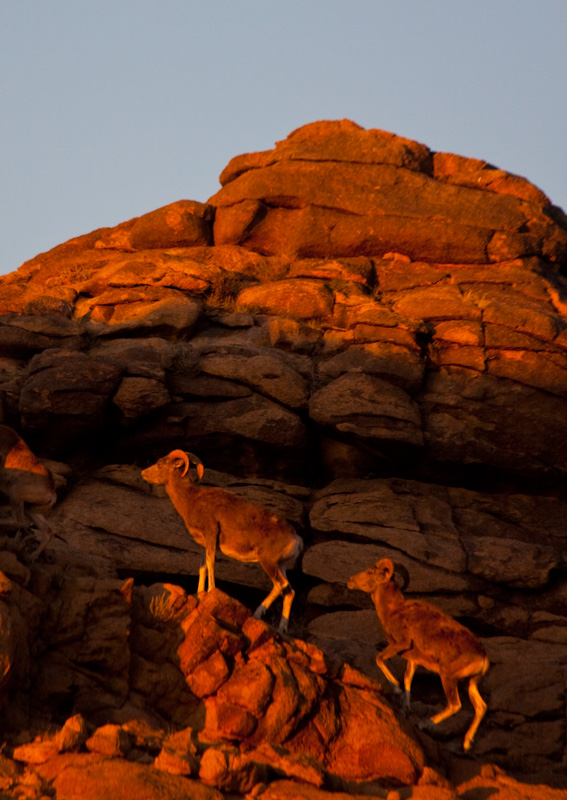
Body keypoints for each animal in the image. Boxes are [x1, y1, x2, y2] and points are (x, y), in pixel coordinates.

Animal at [141, 450, 302, 632]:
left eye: (160, 464)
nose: (143, 473)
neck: (191, 499)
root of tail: (296, 539)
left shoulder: (211, 534)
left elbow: (210, 563)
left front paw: (211, 590)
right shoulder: (204, 544)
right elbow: (202, 567)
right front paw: (200, 593)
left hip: (268, 562)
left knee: (280, 586)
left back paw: (257, 614)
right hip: (280, 565)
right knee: (289, 591)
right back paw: (281, 628)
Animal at [348, 556, 490, 752]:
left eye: (370, 572)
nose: (350, 580)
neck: (393, 610)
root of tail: (482, 658)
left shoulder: (400, 644)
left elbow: (379, 660)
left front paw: (397, 689)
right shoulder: (413, 661)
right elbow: (408, 680)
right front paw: (406, 709)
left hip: (448, 677)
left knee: (455, 705)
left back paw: (425, 723)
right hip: (471, 683)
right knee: (481, 707)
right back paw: (467, 743)